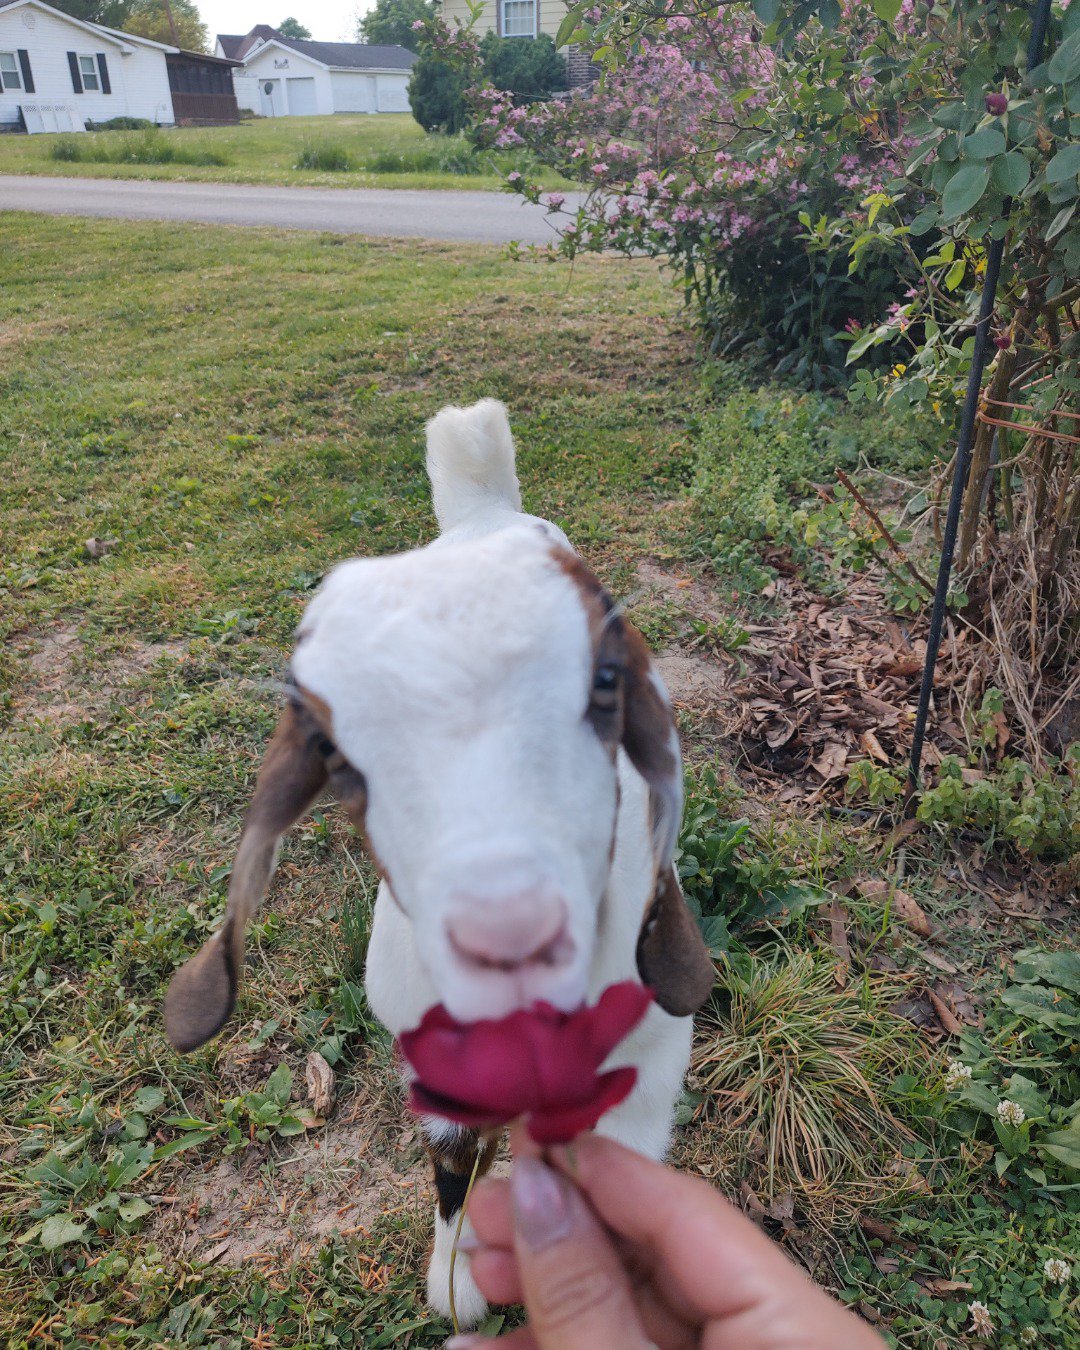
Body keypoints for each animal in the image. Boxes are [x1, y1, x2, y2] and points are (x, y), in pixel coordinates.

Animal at [165, 399, 714, 1327]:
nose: (510, 932)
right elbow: (456, 1168)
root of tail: (484, 507)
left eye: (605, 682)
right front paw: (456, 1284)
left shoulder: (646, 1064)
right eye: (331, 744)